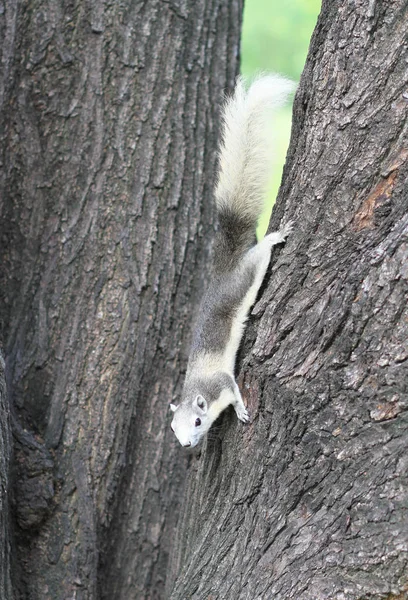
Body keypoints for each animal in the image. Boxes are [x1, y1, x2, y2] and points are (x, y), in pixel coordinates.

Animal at [169, 75, 294, 448]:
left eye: (198, 421)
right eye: (173, 428)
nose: (187, 445)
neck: (196, 389)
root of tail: (223, 272)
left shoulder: (221, 382)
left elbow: (234, 391)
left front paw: (239, 410)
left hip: (244, 277)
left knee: (258, 258)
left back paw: (274, 238)